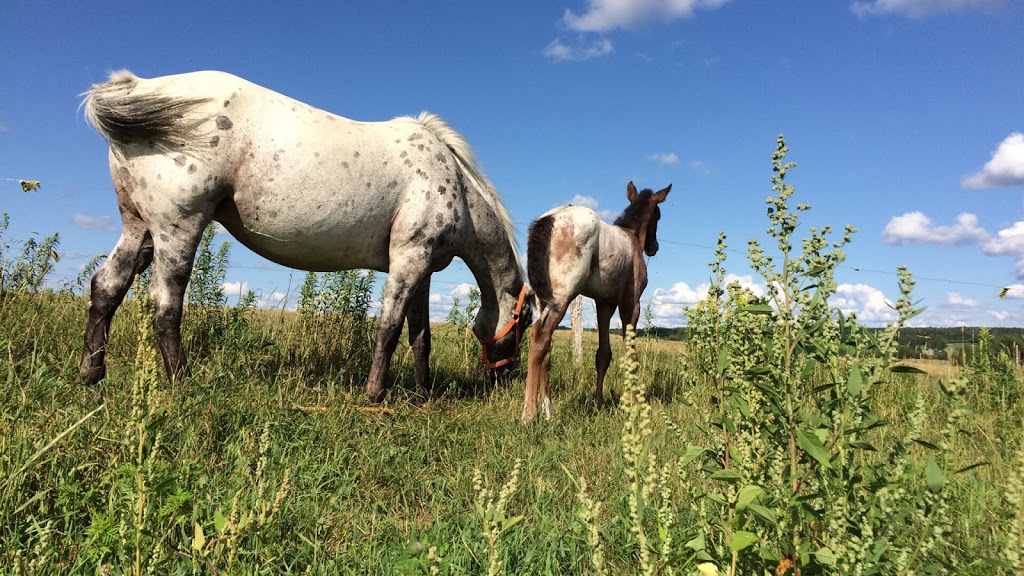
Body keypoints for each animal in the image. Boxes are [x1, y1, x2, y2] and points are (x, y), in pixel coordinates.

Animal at [79, 68, 532, 399]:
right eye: (525, 320)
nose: (505, 377)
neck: (452, 181)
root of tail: (139, 87)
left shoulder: (421, 267)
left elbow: (419, 335)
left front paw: (422, 395)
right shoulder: (409, 258)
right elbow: (389, 327)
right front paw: (374, 394)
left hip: (139, 228)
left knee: (107, 286)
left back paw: (91, 374)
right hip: (178, 227)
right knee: (165, 305)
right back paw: (181, 381)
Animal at [524, 181, 667, 420]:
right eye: (658, 215)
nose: (653, 247)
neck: (631, 238)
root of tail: (549, 219)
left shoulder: (604, 304)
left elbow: (603, 354)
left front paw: (598, 404)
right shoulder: (631, 303)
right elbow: (630, 353)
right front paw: (635, 404)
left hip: (542, 299)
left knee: (547, 347)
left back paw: (549, 410)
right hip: (561, 298)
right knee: (539, 335)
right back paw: (529, 414)